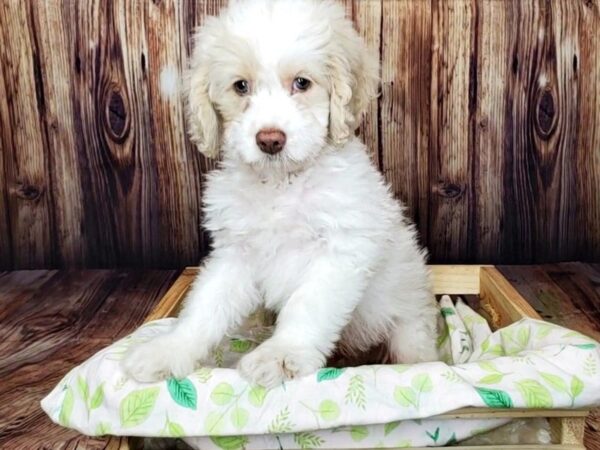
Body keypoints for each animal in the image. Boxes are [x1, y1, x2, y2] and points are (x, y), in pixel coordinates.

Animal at [123, 0, 440, 386]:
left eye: (302, 83)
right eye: (241, 86)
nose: (270, 139)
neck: (280, 185)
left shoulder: (339, 250)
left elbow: (307, 304)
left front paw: (281, 354)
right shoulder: (236, 254)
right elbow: (205, 306)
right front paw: (169, 349)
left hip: (408, 320)